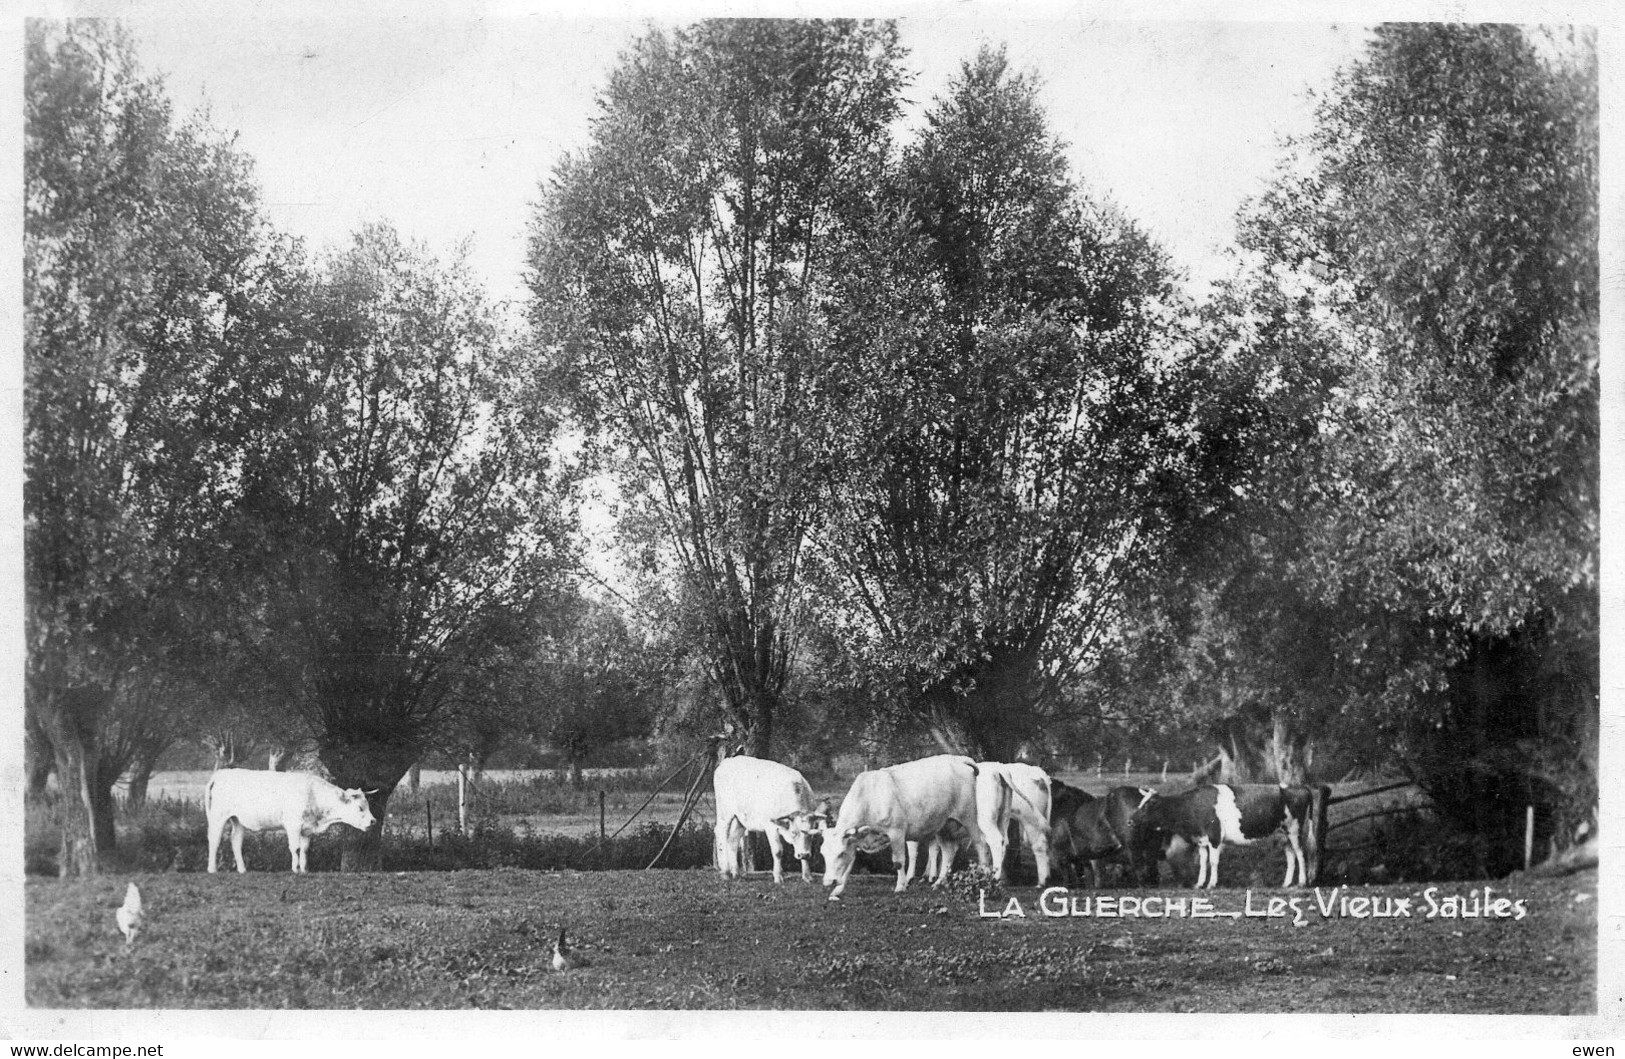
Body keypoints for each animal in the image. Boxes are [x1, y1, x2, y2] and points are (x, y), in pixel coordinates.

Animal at [204, 769, 375, 877]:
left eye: (368, 805)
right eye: (360, 807)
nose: (373, 821)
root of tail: (221, 773)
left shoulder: (307, 829)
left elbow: (305, 849)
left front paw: (304, 870)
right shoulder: (293, 825)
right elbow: (295, 848)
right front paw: (295, 869)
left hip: (237, 819)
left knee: (236, 841)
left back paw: (242, 869)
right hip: (218, 816)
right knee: (214, 840)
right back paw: (212, 869)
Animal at [708, 753, 819, 883]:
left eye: (811, 833)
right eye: (793, 832)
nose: (804, 855)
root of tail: (728, 761)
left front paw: (807, 876)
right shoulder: (770, 826)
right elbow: (778, 851)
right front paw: (778, 876)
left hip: (741, 818)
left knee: (733, 840)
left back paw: (736, 873)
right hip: (725, 812)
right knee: (720, 832)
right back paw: (725, 872)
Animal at [825, 753, 975, 903]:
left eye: (841, 853)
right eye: (823, 854)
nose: (829, 881)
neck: (869, 799)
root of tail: (959, 759)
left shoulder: (896, 832)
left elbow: (898, 861)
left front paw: (900, 886)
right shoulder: (855, 840)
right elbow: (849, 865)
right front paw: (837, 890)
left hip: (968, 820)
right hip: (944, 825)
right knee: (948, 851)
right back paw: (939, 882)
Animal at [1137, 782, 1313, 890]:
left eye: (1148, 805)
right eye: (1141, 803)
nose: (1132, 820)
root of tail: (1300, 786)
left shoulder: (1215, 837)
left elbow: (1213, 862)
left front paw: (1211, 884)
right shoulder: (1202, 840)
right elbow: (1203, 862)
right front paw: (1199, 884)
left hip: (1294, 830)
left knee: (1301, 854)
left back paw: (1302, 882)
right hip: (1283, 835)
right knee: (1291, 856)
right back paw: (1286, 883)